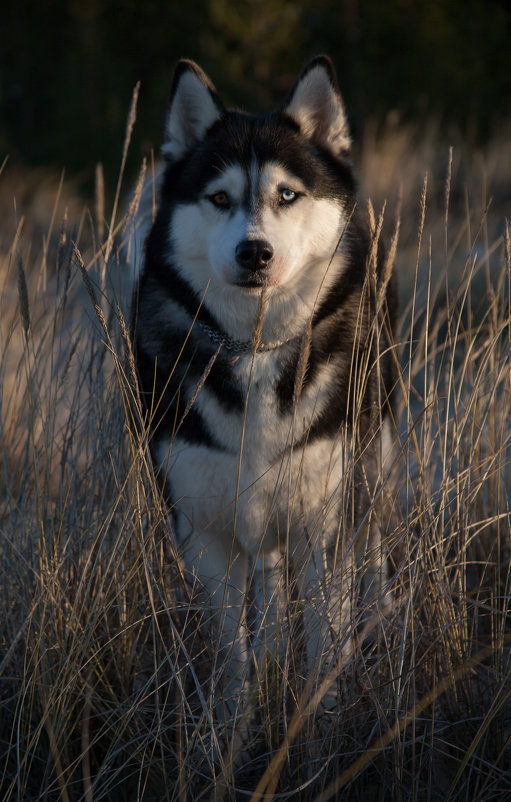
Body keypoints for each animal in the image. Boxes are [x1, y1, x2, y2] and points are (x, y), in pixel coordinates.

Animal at [130, 54, 398, 708]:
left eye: (287, 194)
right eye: (219, 197)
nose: (255, 252)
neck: (254, 352)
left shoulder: (324, 529)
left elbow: (325, 644)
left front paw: (321, 723)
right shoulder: (204, 534)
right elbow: (232, 657)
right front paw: (232, 727)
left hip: (371, 469)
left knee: (373, 553)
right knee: (271, 585)